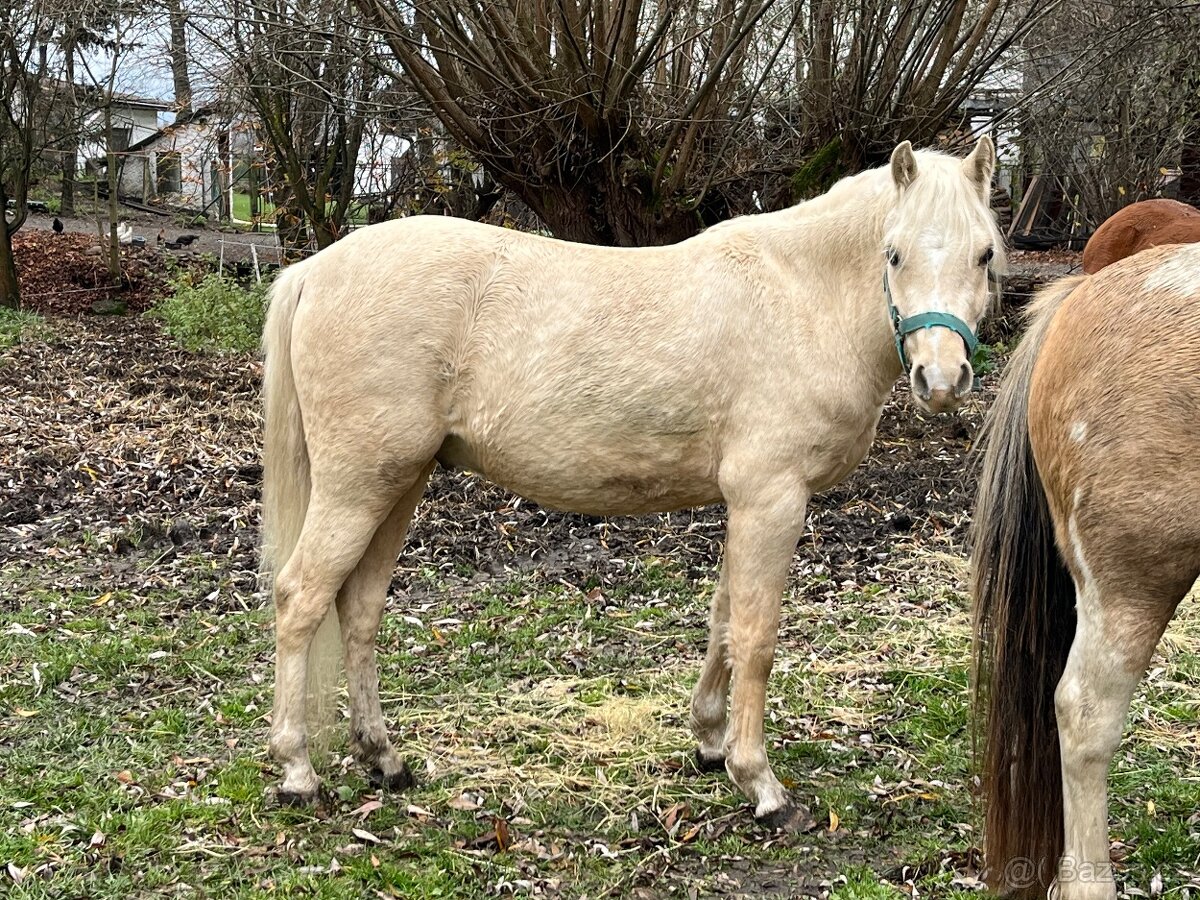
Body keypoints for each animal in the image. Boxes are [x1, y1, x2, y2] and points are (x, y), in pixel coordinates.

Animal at [261, 138, 1004, 829]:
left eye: (984, 255)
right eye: (895, 255)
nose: (942, 381)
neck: (800, 296)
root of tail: (316, 270)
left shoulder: (746, 502)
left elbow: (724, 620)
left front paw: (709, 742)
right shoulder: (771, 498)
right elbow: (756, 635)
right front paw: (760, 784)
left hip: (400, 482)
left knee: (358, 610)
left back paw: (384, 759)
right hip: (358, 486)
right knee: (300, 600)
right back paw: (298, 772)